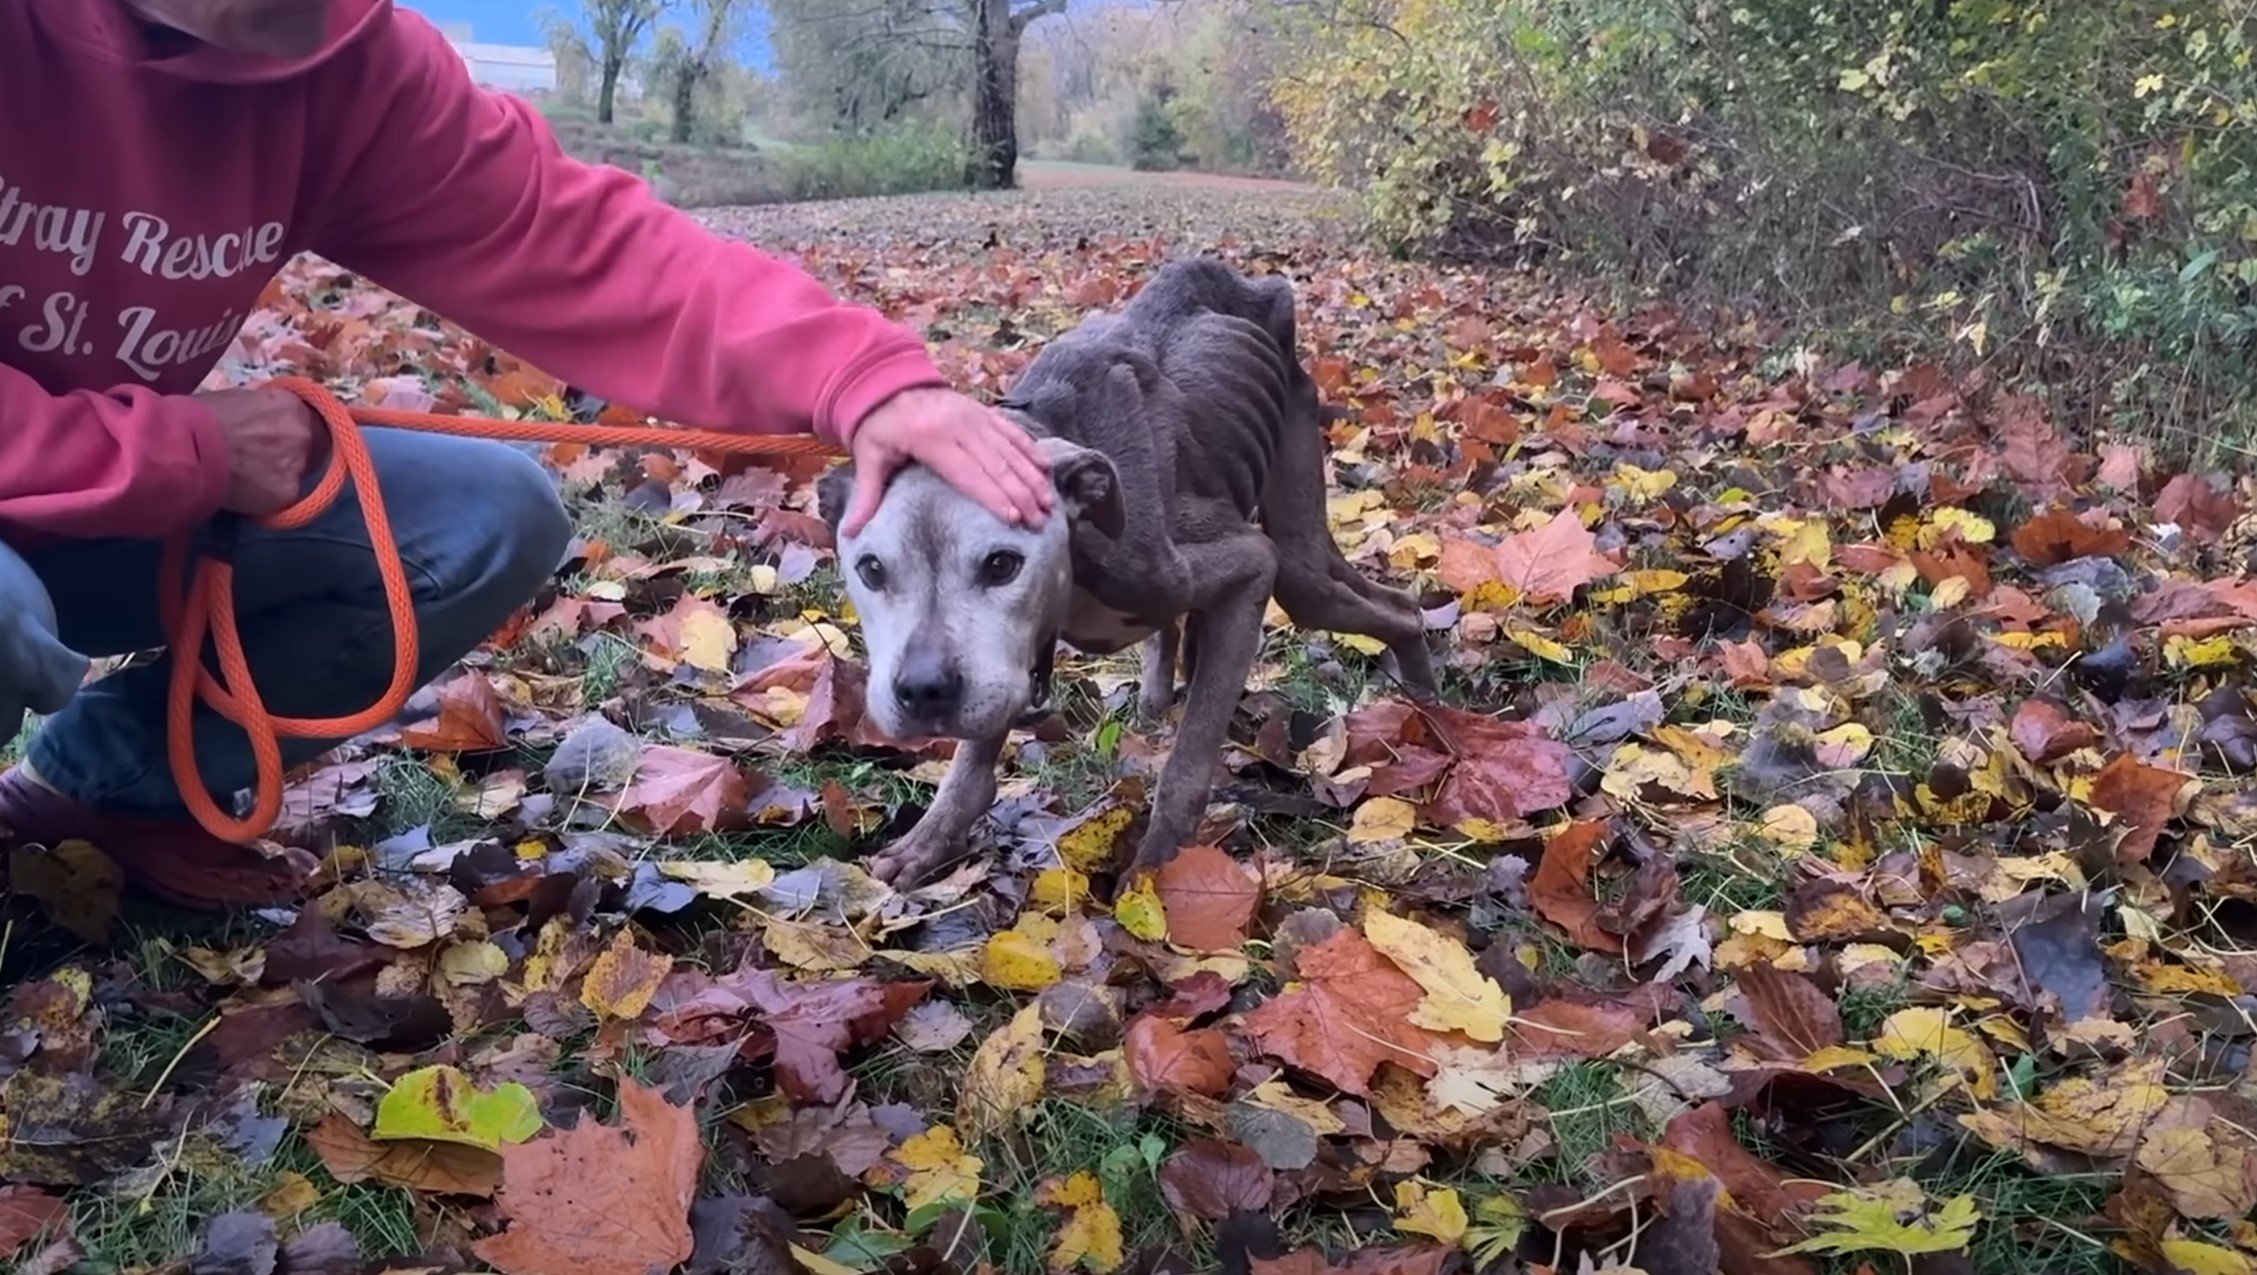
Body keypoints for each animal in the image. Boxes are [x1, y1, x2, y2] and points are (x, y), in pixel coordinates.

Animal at [821, 258, 1435, 884]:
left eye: (1002, 564)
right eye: (871, 570)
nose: (923, 692)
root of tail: (1253, 286)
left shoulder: (1245, 569)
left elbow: (1190, 757)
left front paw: (1161, 869)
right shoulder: (1004, 660)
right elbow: (975, 756)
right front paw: (929, 839)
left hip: (1296, 557)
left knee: (1395, 609)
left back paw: (1427, 706)